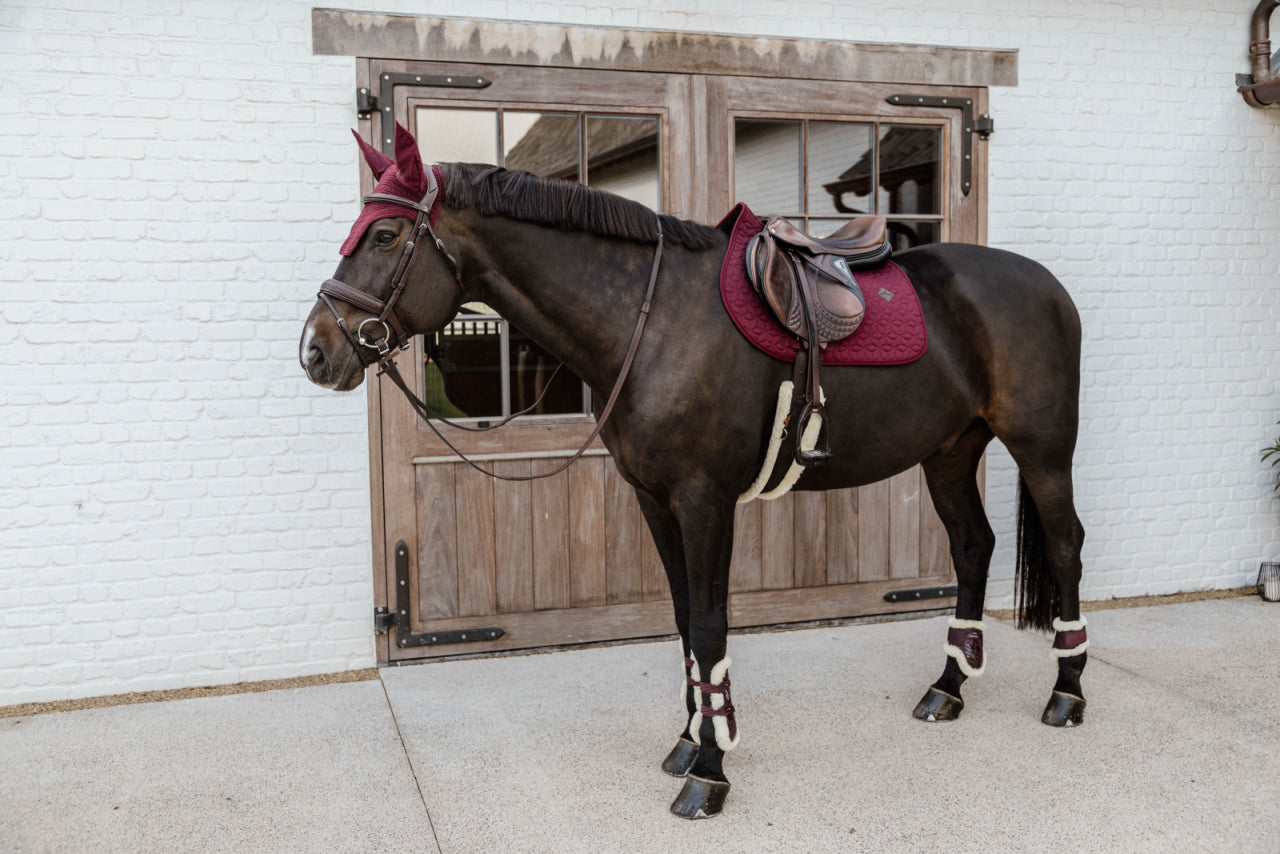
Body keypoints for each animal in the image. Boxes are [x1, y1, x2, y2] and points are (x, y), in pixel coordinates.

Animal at [302, 126, 1090, 819]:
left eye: (383, 235)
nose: (315, 350)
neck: (650, 323)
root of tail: (1048, 285)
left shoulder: (706, 500)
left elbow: (710, 627)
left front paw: (709, 773)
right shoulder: (655, 500)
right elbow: (683, 620)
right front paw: (688, 741)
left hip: (1043, 450)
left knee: (1066, 547)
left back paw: (1067, 694)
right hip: (950, 451)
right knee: (973, 547)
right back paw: (948, 687)